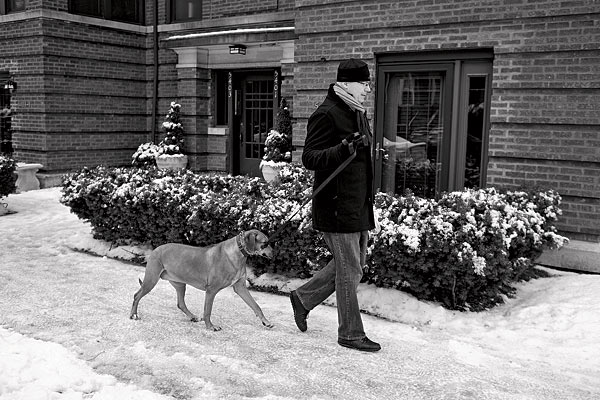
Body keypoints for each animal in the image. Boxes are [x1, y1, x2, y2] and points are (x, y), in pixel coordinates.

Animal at [131, 230, 274, 330]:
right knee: (137, 295)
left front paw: (266, 322)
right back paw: (134, 315)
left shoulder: (240, 287)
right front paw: (211, 327)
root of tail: (156, 249)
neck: (238, 253)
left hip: (180, 284)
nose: (274, 254)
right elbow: (208, 311)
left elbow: (256, 305)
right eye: (265, 243)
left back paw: (193, 317)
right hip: (151, 279)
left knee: (180, 303)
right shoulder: (211, 290)